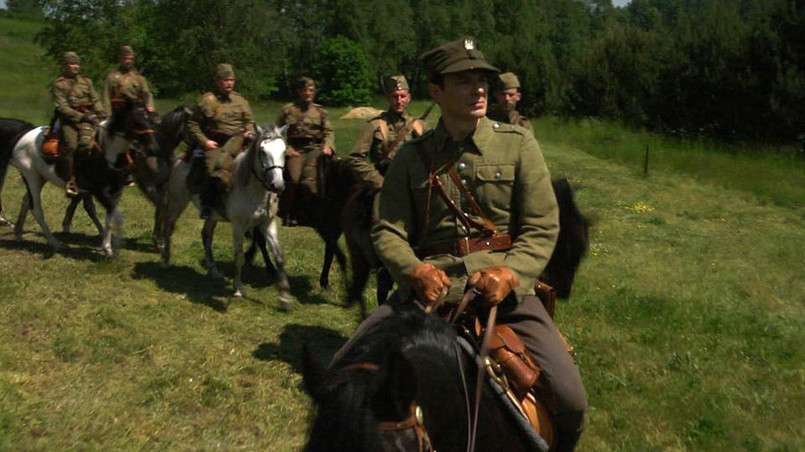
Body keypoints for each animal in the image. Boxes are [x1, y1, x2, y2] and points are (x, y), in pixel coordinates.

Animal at [4, 106, 160, 256]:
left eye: (153, 122)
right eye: (137, 122)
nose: (153, 149)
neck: (105, 154)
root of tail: (23, 136)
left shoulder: (116, 191)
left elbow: (110, 218)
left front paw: (108, 247)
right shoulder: (99, 192)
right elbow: (114, 216)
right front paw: (111, 248)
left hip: (41, 178)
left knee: (26, 200)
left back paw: (18, 233)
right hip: (31, 177)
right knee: (36, 209)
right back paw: (56, 243)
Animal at [159, 122, 294, 308]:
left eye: (283, 150)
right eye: (262, 151)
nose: (277, 185)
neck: (252, 189)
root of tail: (181, 158)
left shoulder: (268, 223)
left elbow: (279, 257)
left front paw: (284, 297)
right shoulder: (238, 226)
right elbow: (238, 258)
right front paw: (238, 289)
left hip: (211, 215)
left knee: (206, 235)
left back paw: (214, 271)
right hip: (177, 203)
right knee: (168, 227)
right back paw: (165, 260)